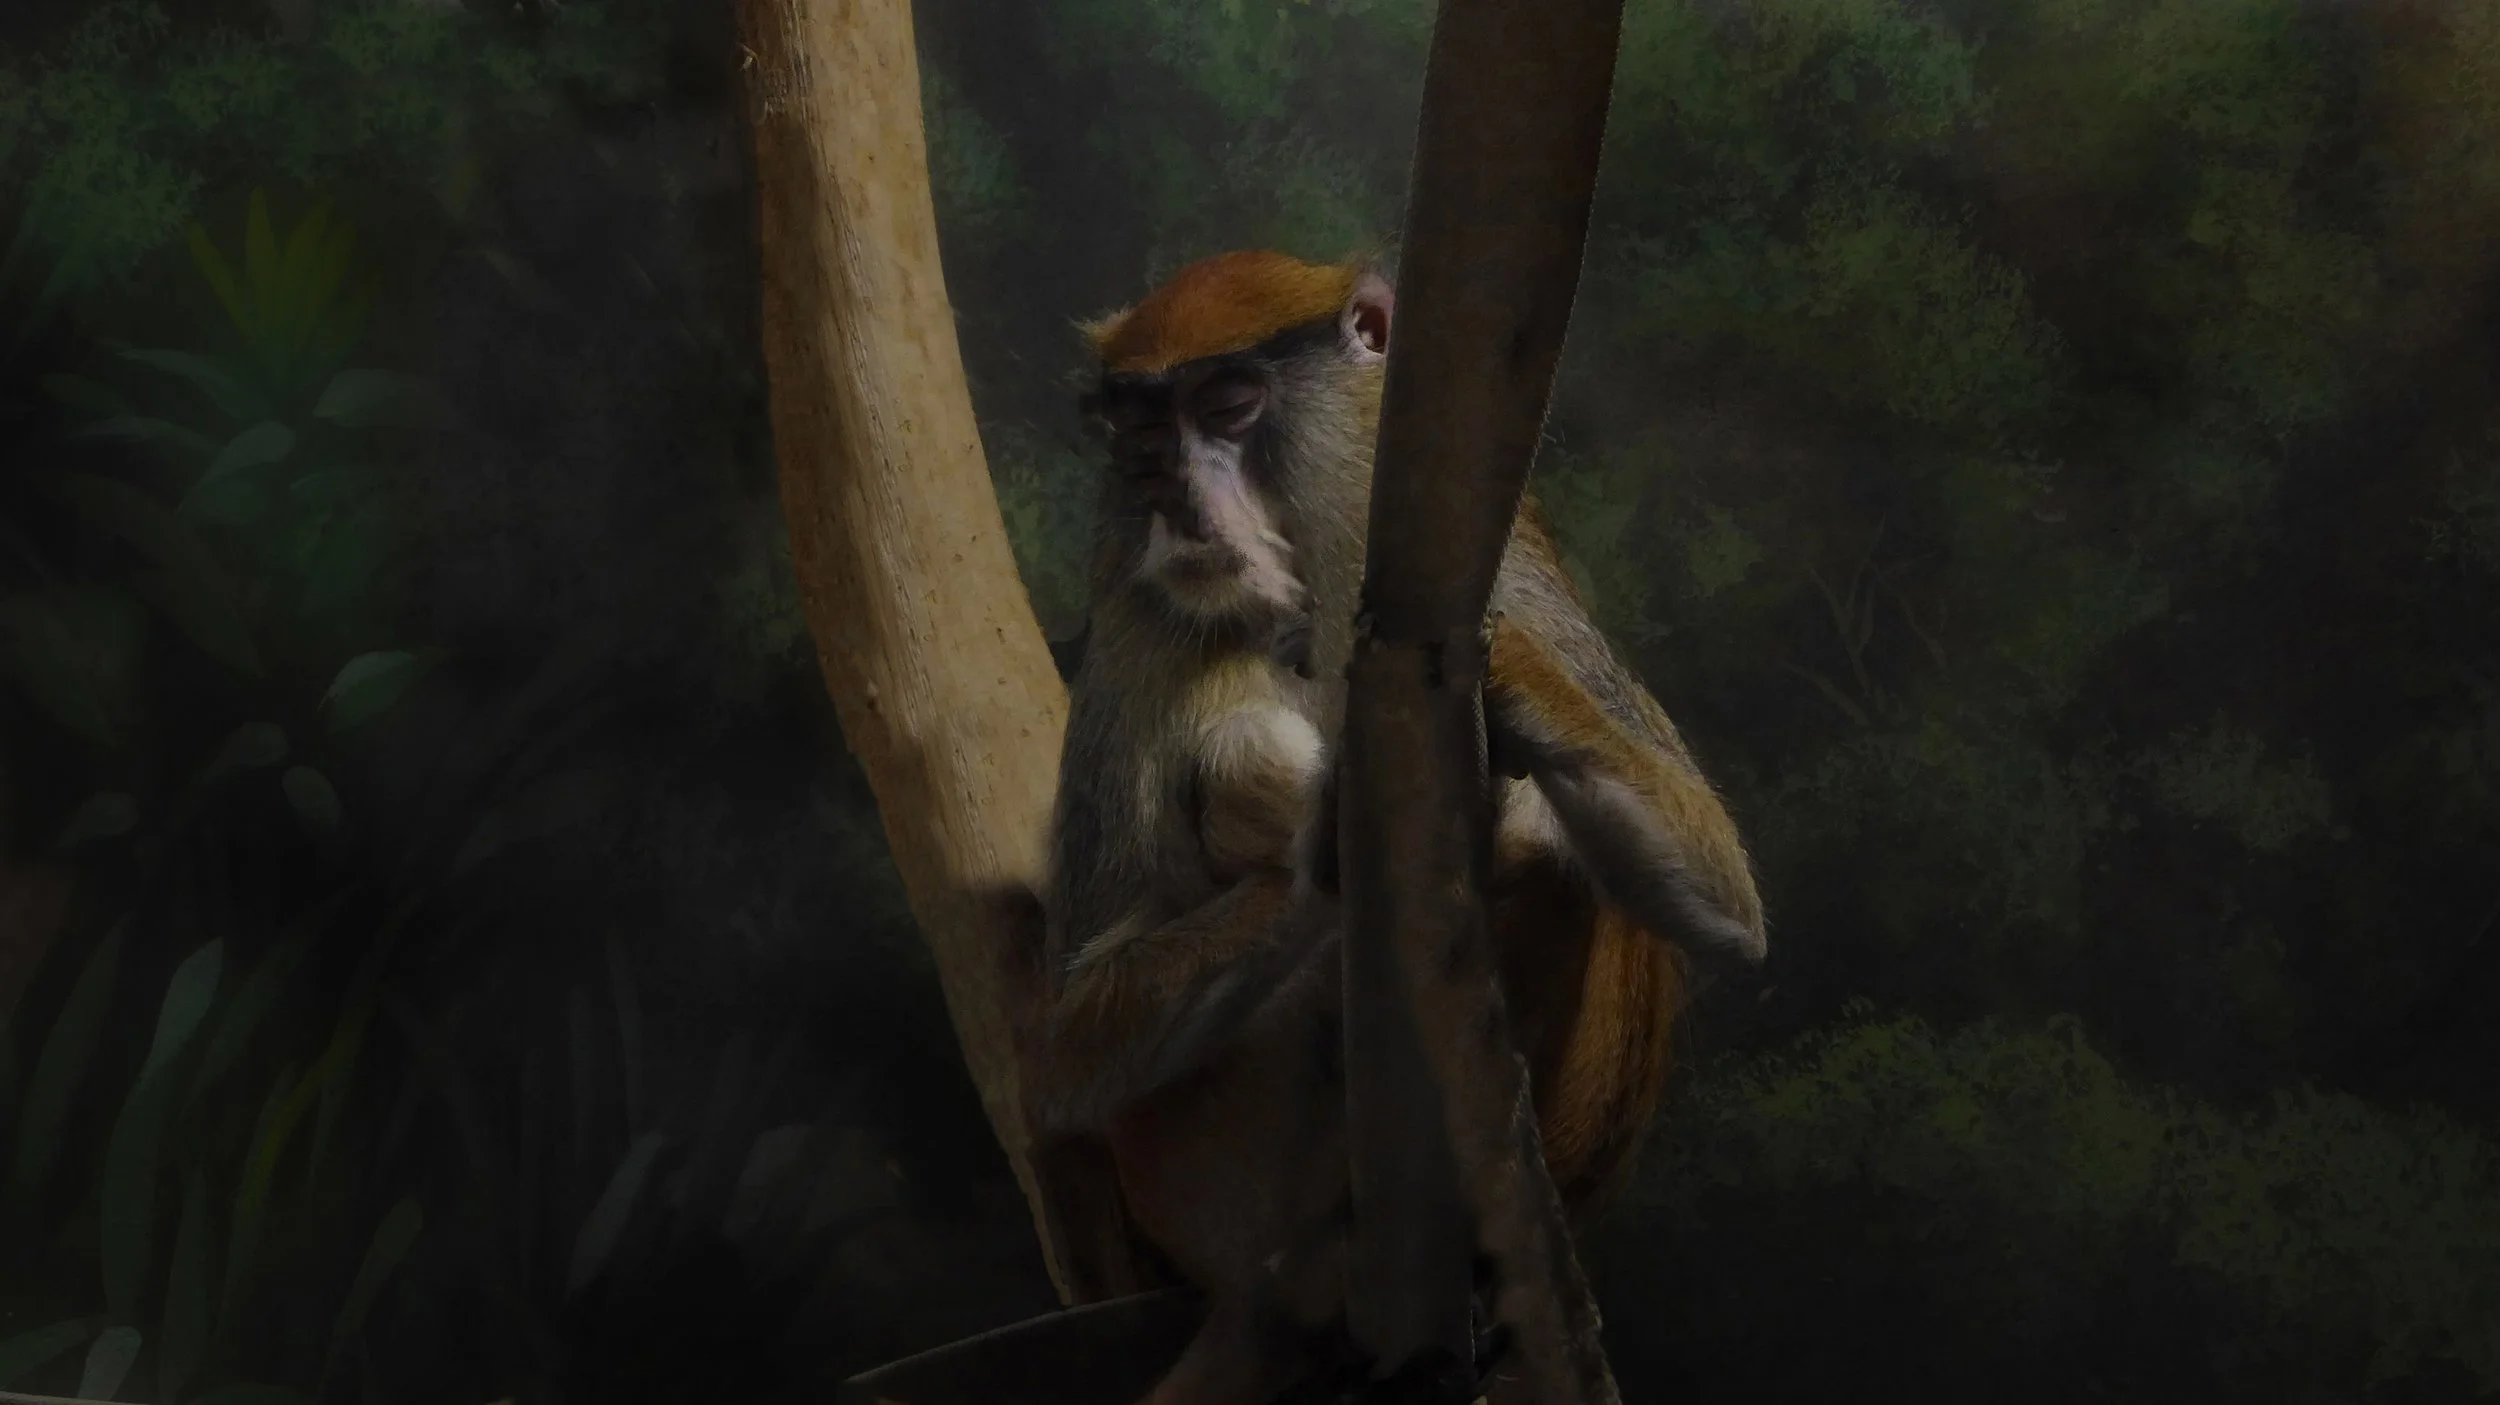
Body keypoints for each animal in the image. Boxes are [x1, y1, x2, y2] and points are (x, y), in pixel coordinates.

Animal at [1031, 249, 1768, 1404]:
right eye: (1142, 442)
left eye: (1229, 407)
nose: (1178, 507)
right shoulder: (1137, 628)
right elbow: (1072, 1042)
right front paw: (1315, 821)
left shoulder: (1507, 574)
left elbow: (1721, 895)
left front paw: (1508, 707)